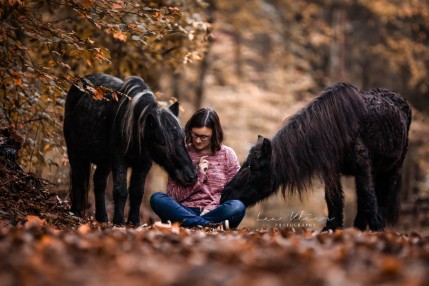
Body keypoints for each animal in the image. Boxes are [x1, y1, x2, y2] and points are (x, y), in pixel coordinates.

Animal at [63, 73, 197, 226]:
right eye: (161, 142)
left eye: (182, 138)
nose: (191, 175)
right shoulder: (119, 161)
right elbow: (121, 191)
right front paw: (119, 222)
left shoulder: (143, 164)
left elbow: (137, 193)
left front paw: (135, 222)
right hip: (74, 151)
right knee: (78, 177)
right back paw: (75, 212)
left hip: (104, 162)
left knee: (99, 182)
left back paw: (102, 217)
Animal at [222, 82, 410, 230]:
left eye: (253, 167)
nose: (225, 194)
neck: (338, 128)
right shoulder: (332, 171)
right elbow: (334, 200)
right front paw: (331, 228)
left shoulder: (363, 167)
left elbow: (368, 198)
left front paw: (377, 229)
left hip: (392, 170)